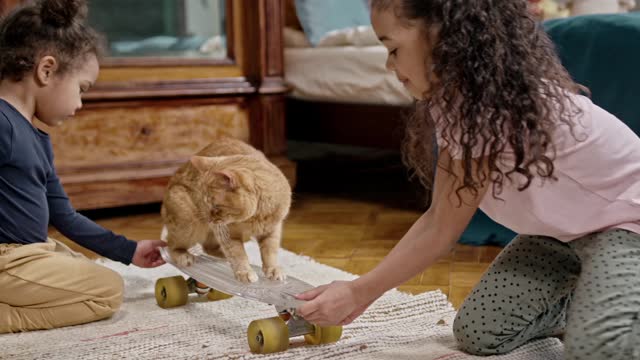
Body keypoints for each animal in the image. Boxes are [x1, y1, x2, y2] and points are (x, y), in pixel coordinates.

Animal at [161, 136, 292, 282]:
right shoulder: (227, 233)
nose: (208, 219)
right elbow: (237, 254)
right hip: (189, 224)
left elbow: (270, 252)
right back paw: (183, 256)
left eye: (215, 206)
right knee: (170, 244)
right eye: (203, 202)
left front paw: (273, 269)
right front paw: (245, 272)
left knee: (208, 247)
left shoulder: (272, 230)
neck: (254, 218)